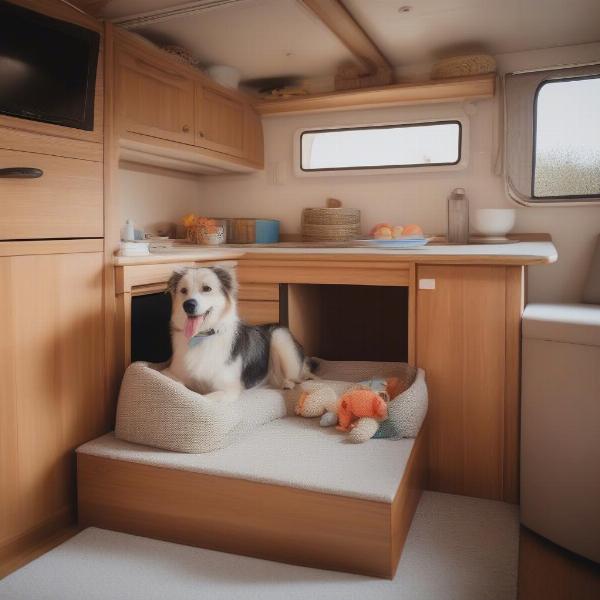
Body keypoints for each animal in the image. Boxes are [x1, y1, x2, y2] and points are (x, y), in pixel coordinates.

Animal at [164, 266, 314, 398]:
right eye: (183, 290)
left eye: (206, 288)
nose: (188, 305)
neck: (201, 337)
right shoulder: (170, 372)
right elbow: (178, 384)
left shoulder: (228, 388)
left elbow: (206, 398)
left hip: (280, 337)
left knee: (298, 375)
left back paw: (289, 383)